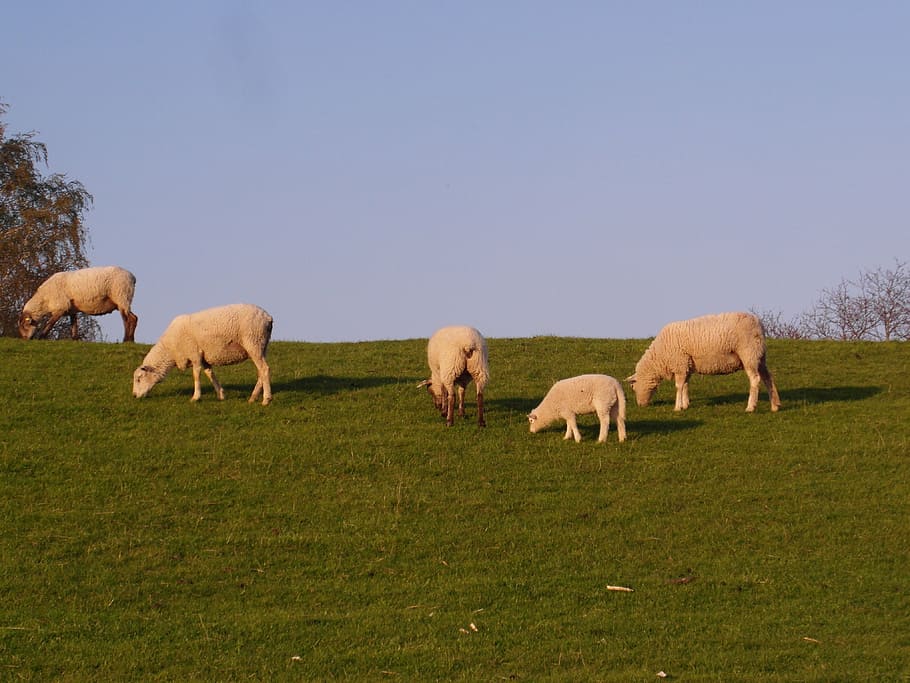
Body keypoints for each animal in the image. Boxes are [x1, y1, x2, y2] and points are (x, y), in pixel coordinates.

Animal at [132, 303, 273, 405]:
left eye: (139, 379)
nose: (134, 396)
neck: (170, 350)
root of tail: (267, 317)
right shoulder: (204, 358)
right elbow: (210, 374)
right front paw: (220, 394)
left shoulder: (194, 353)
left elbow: (196, 375)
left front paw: (196, 397)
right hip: (262, 345)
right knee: (261, 371)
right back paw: (253, 398)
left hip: (253, 341)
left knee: (264, 369)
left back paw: (266, 399)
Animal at [626, 311, 781, 413]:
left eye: (633, 387)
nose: (640, 405)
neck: (659, 356)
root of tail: (758, 324)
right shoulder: (686, 364)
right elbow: (686, 385)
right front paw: (685, 404)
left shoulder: (680, 363)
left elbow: (679, 386)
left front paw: (677, 407)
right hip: (759, 356)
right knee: (768, 378)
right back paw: (774, 405)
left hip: (748, 354)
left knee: (755, 380)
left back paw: (750, 407)